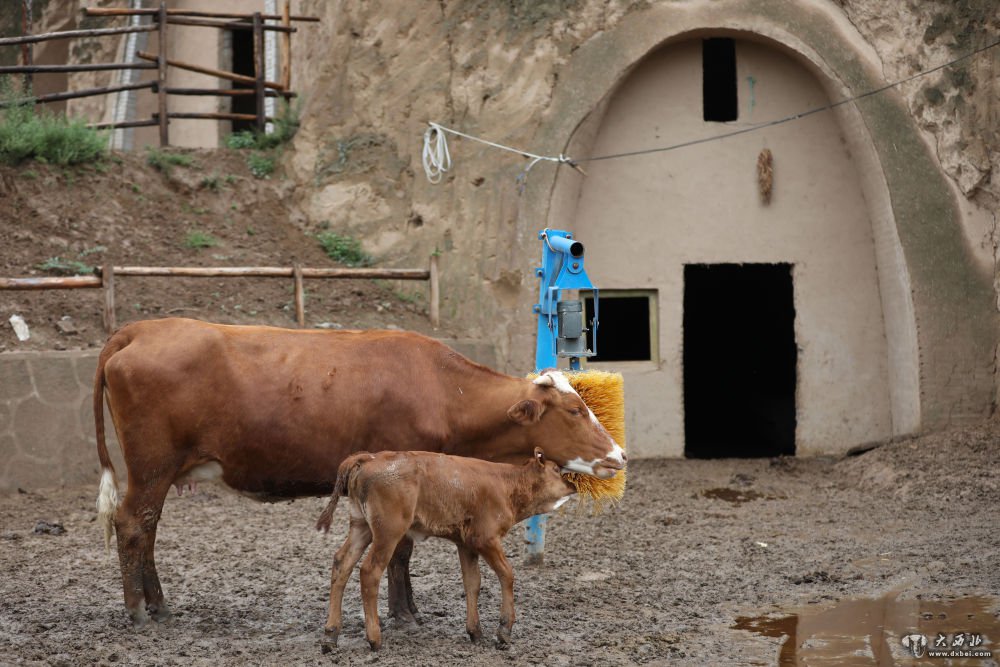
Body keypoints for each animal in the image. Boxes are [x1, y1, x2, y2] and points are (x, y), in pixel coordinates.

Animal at [316, 446, 576, 648]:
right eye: (556, 470)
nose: (572, 485)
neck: (506, 484)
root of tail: (368, 458)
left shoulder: (466, 544)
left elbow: (472, 583)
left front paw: (475, 631)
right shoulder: (486, 539)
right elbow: (507, 575)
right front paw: (504, 631)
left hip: (362, 526)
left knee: (342, 563)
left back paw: (331, 636)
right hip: (387, 532)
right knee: (369, 571)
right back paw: (374, 638)